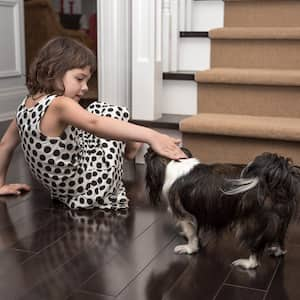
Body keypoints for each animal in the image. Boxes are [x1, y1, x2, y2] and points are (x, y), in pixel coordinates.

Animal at [144, 149, 298, 270]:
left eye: (148, 154)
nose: (145, 152)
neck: (175, 162)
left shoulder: (185, 216)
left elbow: (192, 235)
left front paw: (189, 248)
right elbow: (196, 231)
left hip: (250, 223)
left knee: (255, 248)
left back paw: (247, 263)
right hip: (281, 219)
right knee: (279, 237)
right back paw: (276, 250)